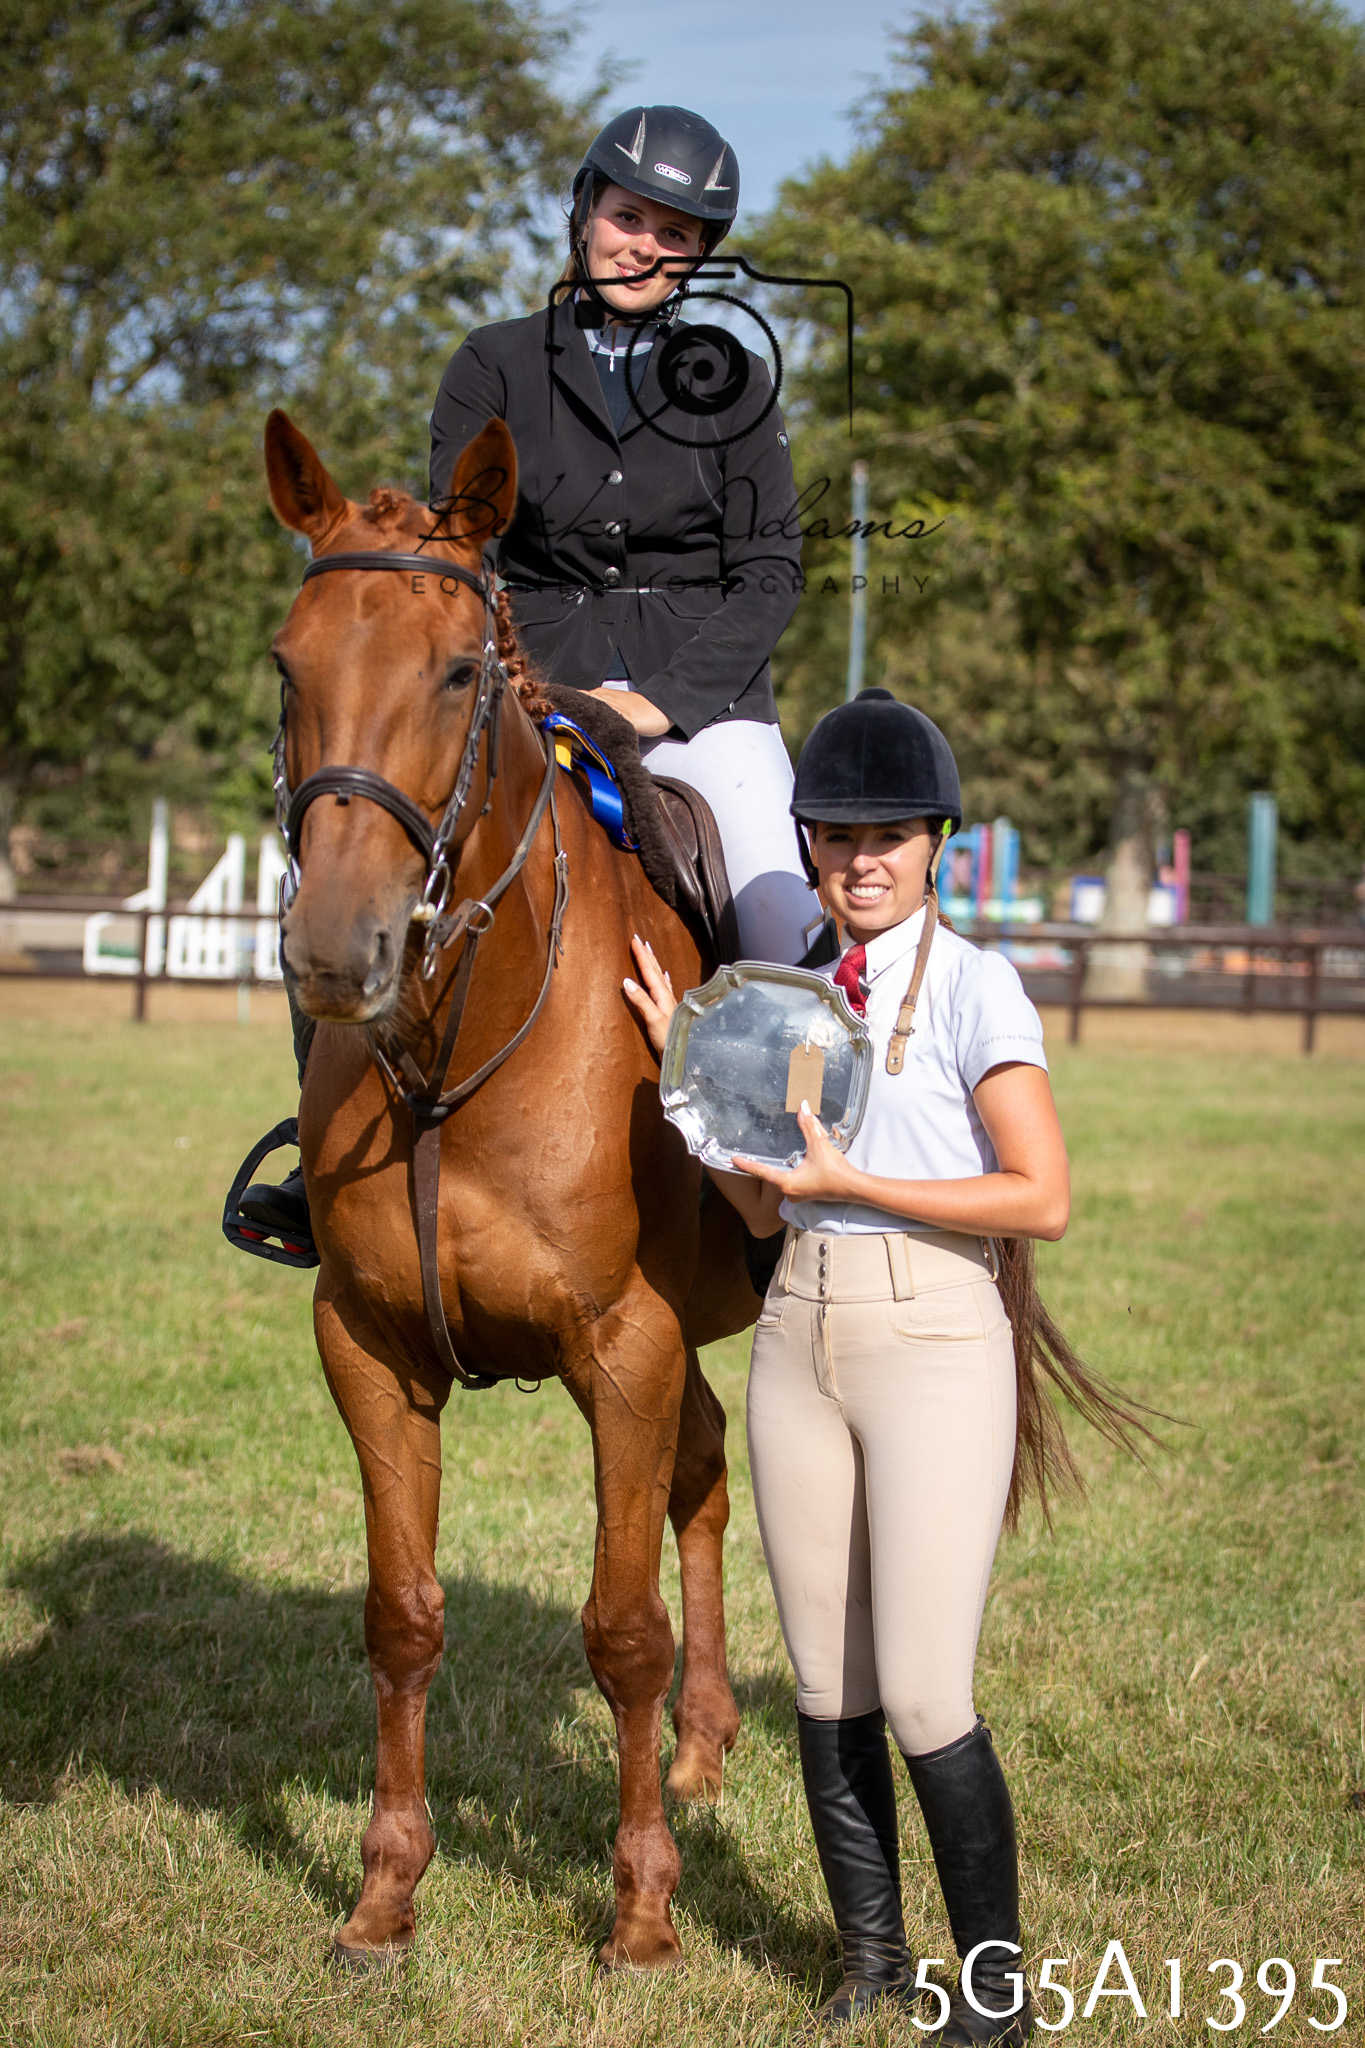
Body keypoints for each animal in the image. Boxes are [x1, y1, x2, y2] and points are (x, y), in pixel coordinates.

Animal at [261, 408, 760, 1970]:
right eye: (288, 663)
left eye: (459, 670)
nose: (338, 948)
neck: (459, 1050)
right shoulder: (368, 1349)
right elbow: (402, 1617)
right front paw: (383, 1894)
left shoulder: (623, 1346)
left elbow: (620, 1628)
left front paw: (643, 1912)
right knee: (705, 1474)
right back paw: (706, 1746)